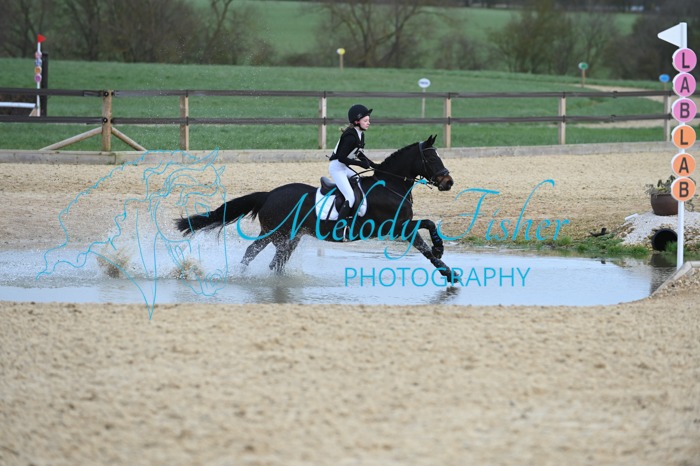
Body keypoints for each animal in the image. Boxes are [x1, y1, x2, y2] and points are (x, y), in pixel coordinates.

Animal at [175, 135, 459, 282]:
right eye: (431, 158)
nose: (448, 182)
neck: (390, 185)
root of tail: (268, 195)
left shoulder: (401, 227)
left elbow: (425, 235)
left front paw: (444, 262)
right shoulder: (396, 226)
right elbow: (426, 235)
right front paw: (446, 265)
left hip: (290, 238)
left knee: (275, 261)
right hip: (276, 233)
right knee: (251, 252)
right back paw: (239, 276)